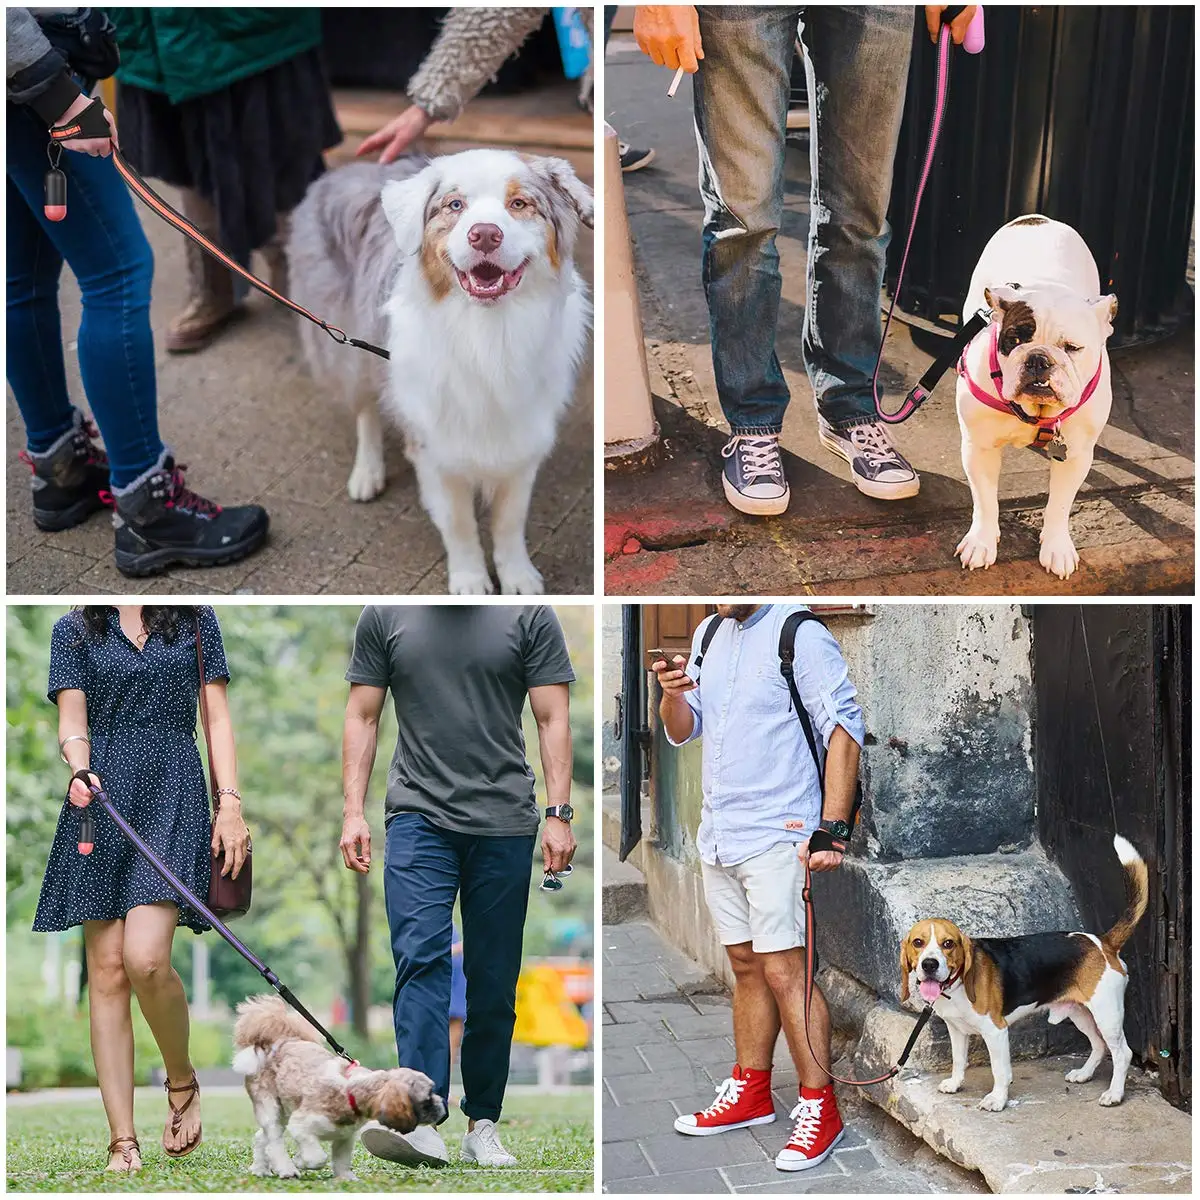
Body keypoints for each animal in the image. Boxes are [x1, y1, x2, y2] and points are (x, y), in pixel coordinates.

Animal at [230, 993, 446, 1180]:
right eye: (427, 1098)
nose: (442, 1108)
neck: (349, 1091)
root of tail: (276, 1044)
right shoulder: (301, 1125)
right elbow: (318, 1158)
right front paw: (300, 1161)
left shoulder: (344, 1138)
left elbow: (341, 1161)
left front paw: (346, 1178)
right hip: (271, 1108)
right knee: (274, 1141)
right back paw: (286, 1169)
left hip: (284, 1111)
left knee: (262, 1138)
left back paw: (260, 1169)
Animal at [288, 152, 592, 592]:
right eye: (455, 205)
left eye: (519, 204)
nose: (485, 235)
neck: (488, 335)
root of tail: (346, 168)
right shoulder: (436, 448)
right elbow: (459, 523)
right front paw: (471, 580)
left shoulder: (523, 435)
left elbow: (510, 520)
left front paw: (517, 576)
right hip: (348, 341)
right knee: (365, 411)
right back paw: (367, 472)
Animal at [902, 840, 1142, 1108]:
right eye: (918, 942)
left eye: (948, 944)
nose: (929, 965)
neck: (956, 987)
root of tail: (1103, 942)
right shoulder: (957, 1029)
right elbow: (958, 1060)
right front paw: (955, 1084)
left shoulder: (996, 1031)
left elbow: (999, 1070)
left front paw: (997, 1099)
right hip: (1080, 1012)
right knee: (1099, 1045)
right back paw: (1084, 1074)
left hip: (1107, 1014)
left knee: (1122, 1053)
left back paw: (1114, 1094)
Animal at [955, 216, 1113, 580]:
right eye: (1013, 340)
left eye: (1072, 347)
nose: (1038, 358)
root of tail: (1040, 219)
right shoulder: (979, 449)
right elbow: (985, 499)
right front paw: (982, 541)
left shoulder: (1075, 455)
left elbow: (1060, 504)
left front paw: (1057, 546)